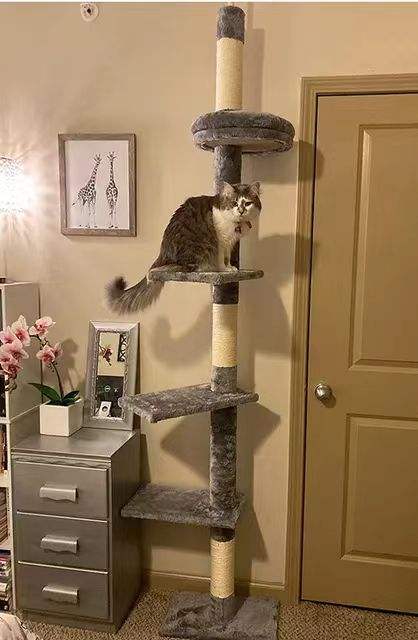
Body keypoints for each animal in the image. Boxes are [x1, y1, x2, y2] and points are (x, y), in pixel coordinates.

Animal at [106, 181, 261, 313]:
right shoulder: (221, 241)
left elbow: (227, 258)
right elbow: (222, 260)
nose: (241, 210)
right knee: (191, 267)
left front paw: (231, 268)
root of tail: (163, 250)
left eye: (247, 203)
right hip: (200, 247)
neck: (237, 223)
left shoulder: (229, 243)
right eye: (235, 203)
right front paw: (225, 270)